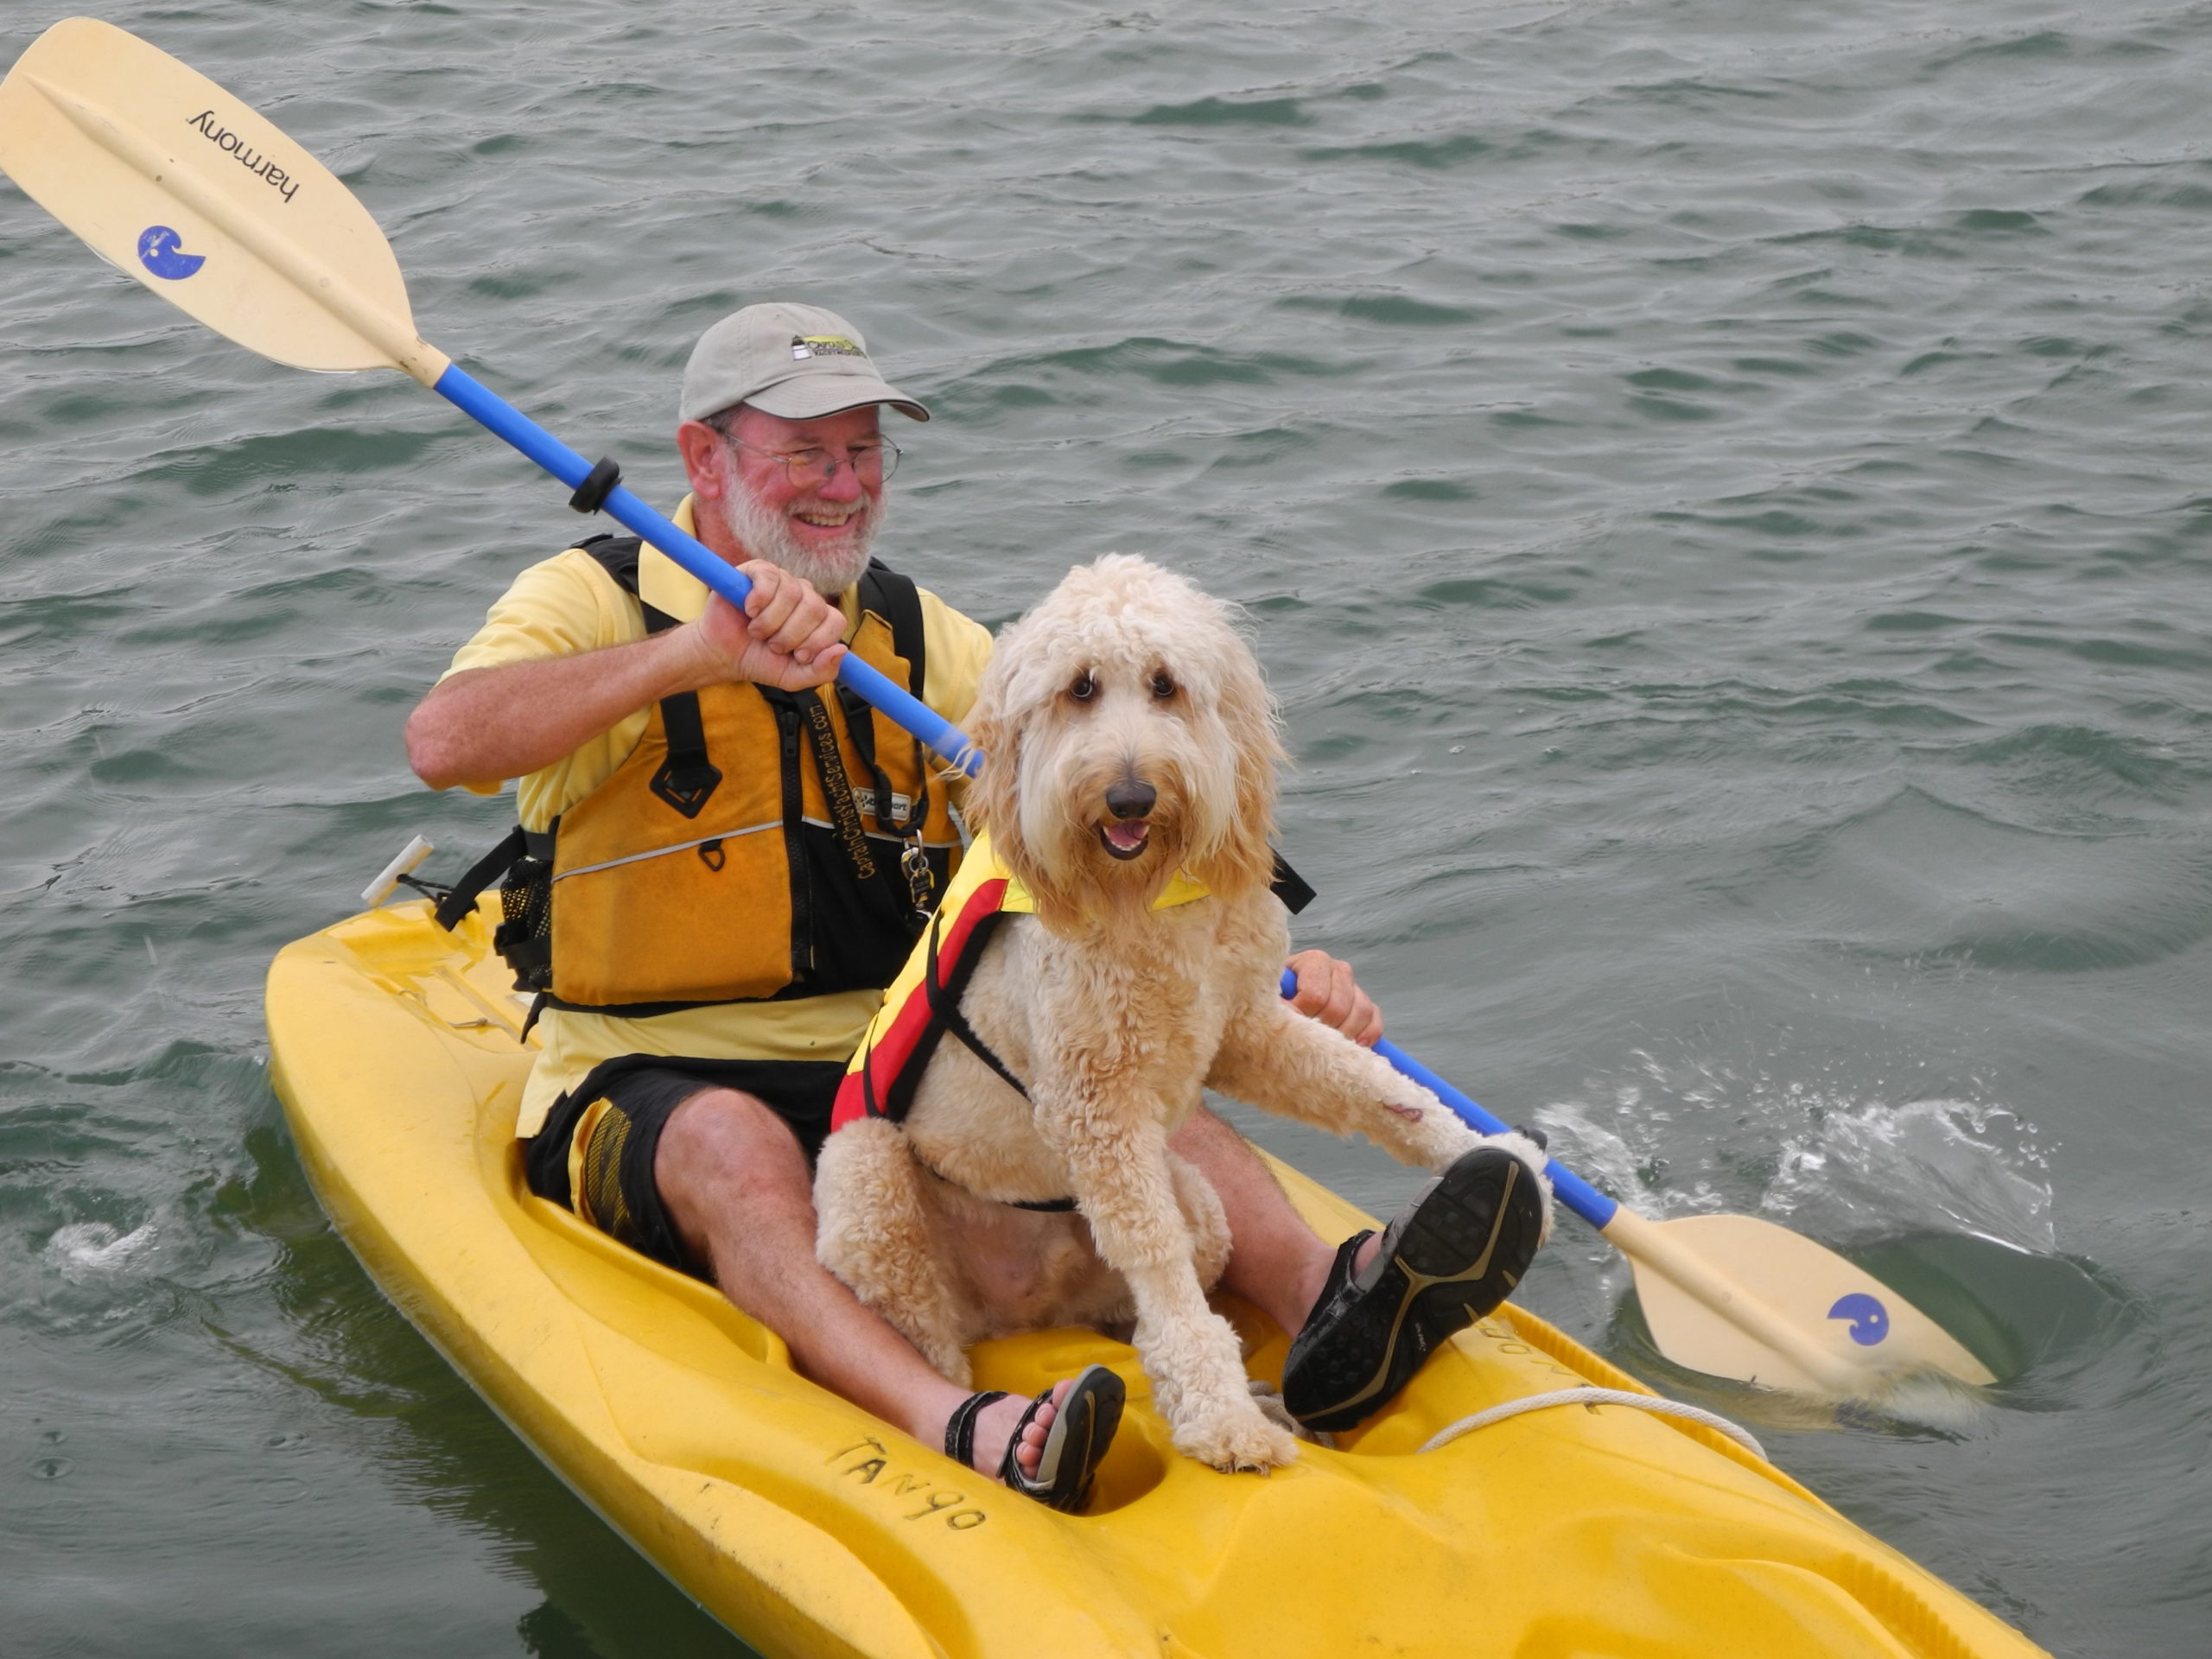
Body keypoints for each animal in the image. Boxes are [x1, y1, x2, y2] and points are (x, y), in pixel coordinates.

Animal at [818, 562, 1557, 1478]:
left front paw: (1499, 1159)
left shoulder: (1244, 1027)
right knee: (934, 1351)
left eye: (1166, 684)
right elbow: (1157, 1266)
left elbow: (1371, 1085)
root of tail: (1020, 1312)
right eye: (1080, 688)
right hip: (867, 1189)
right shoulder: (1097, 1104)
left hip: (1198, 1208)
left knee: (1133, 1313)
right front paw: (1221, 1418)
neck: (1151, 896)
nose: (1130, 794)